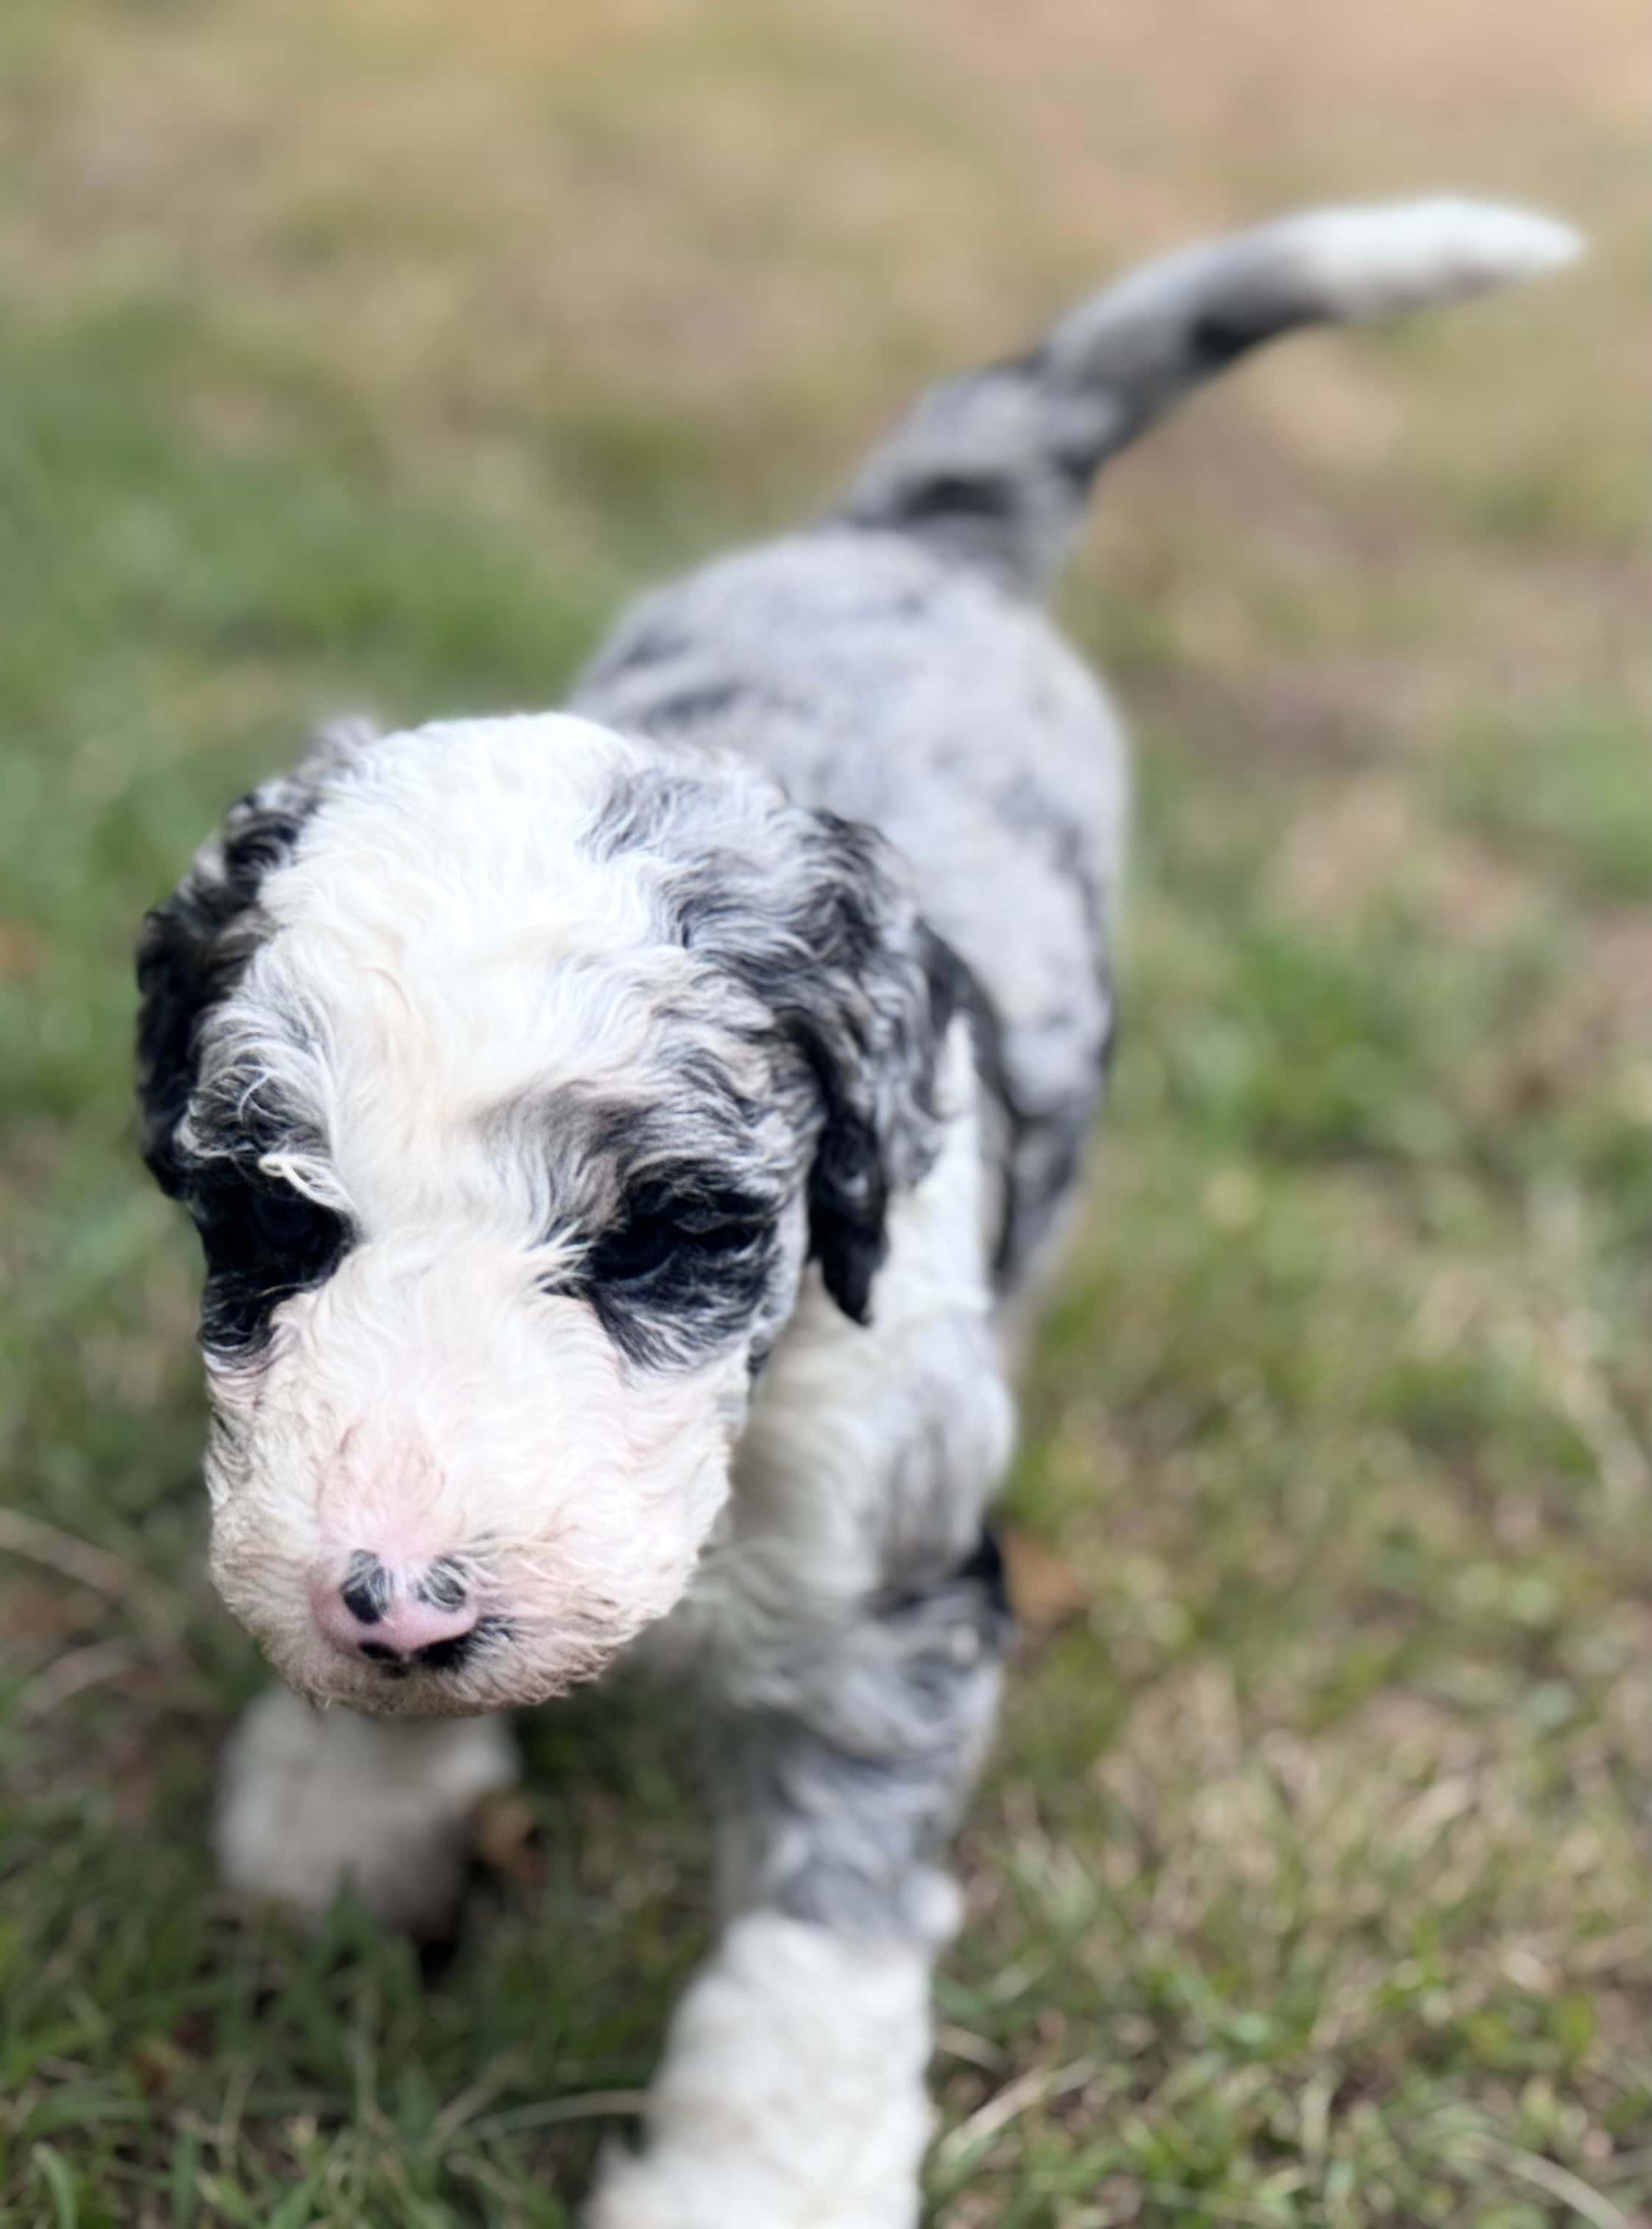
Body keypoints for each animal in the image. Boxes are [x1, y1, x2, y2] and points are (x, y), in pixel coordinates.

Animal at [135, 200, 1569, 2219]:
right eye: (268, 1220)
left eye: (671, 1232)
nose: (402, 1612)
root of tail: (914, 532)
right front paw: (339, 1831)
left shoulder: (891, 1604)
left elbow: (810, 1960)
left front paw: (751, 2187)